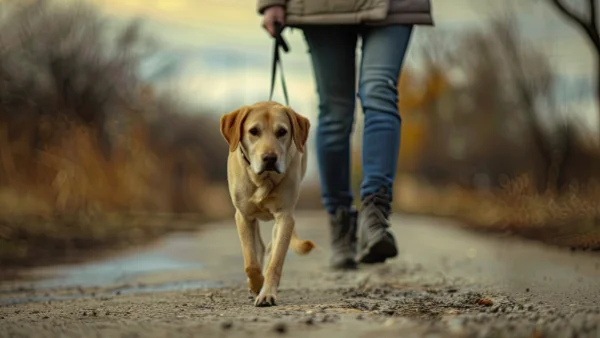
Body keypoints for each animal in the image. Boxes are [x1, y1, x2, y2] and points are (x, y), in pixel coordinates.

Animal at [219, 99, 314, 306]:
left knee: (270, 249)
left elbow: (275, 262)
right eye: (253, 131)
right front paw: (256, 284)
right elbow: (250, 262)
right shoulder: (243, 216)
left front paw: (266, 292)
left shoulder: (285, 218)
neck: (264, 180)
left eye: (282, 132)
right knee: (260, 249)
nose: (270, 158)